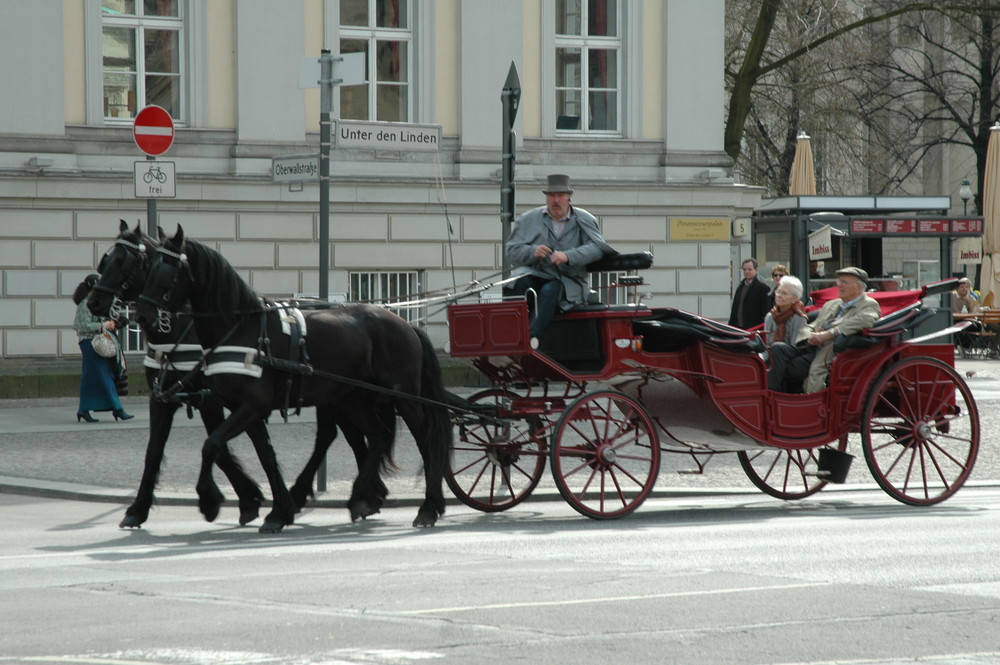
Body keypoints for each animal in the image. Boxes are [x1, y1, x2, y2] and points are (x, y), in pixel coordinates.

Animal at [88, 222, 378, 528]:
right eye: (105, 261)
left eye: (124, 262)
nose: (94, 302)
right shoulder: (164, 398)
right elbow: (155, 451)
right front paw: (138, 509)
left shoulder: (211, 399)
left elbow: (221, 449)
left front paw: (232, 499)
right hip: (338, 394)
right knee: (347, 435)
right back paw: (365, 495)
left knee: (338, 435)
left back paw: (354, 494)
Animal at [135, 223, 448, 528]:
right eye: (146, 267)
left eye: (165, 269)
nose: (142, 315)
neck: (241, 327)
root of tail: (406, 324)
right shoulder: (243, 408)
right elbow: (265, 456)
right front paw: (277, 511)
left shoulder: (251, 405)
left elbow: (211, 445)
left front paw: (209, 499)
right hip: (353, 399)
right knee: (378, 437)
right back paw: (361, 497)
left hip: (404, 397)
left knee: (426, 441)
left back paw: (428, 507)